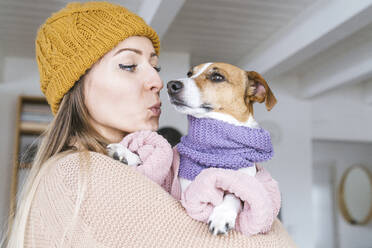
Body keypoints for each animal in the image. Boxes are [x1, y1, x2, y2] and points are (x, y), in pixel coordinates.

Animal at [167, 62, 278, 234]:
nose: (171, 85)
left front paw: (222, 215)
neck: (218, 152)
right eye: (189, 73)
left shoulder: (244, 183)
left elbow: (234, 196)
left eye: (217, 77)